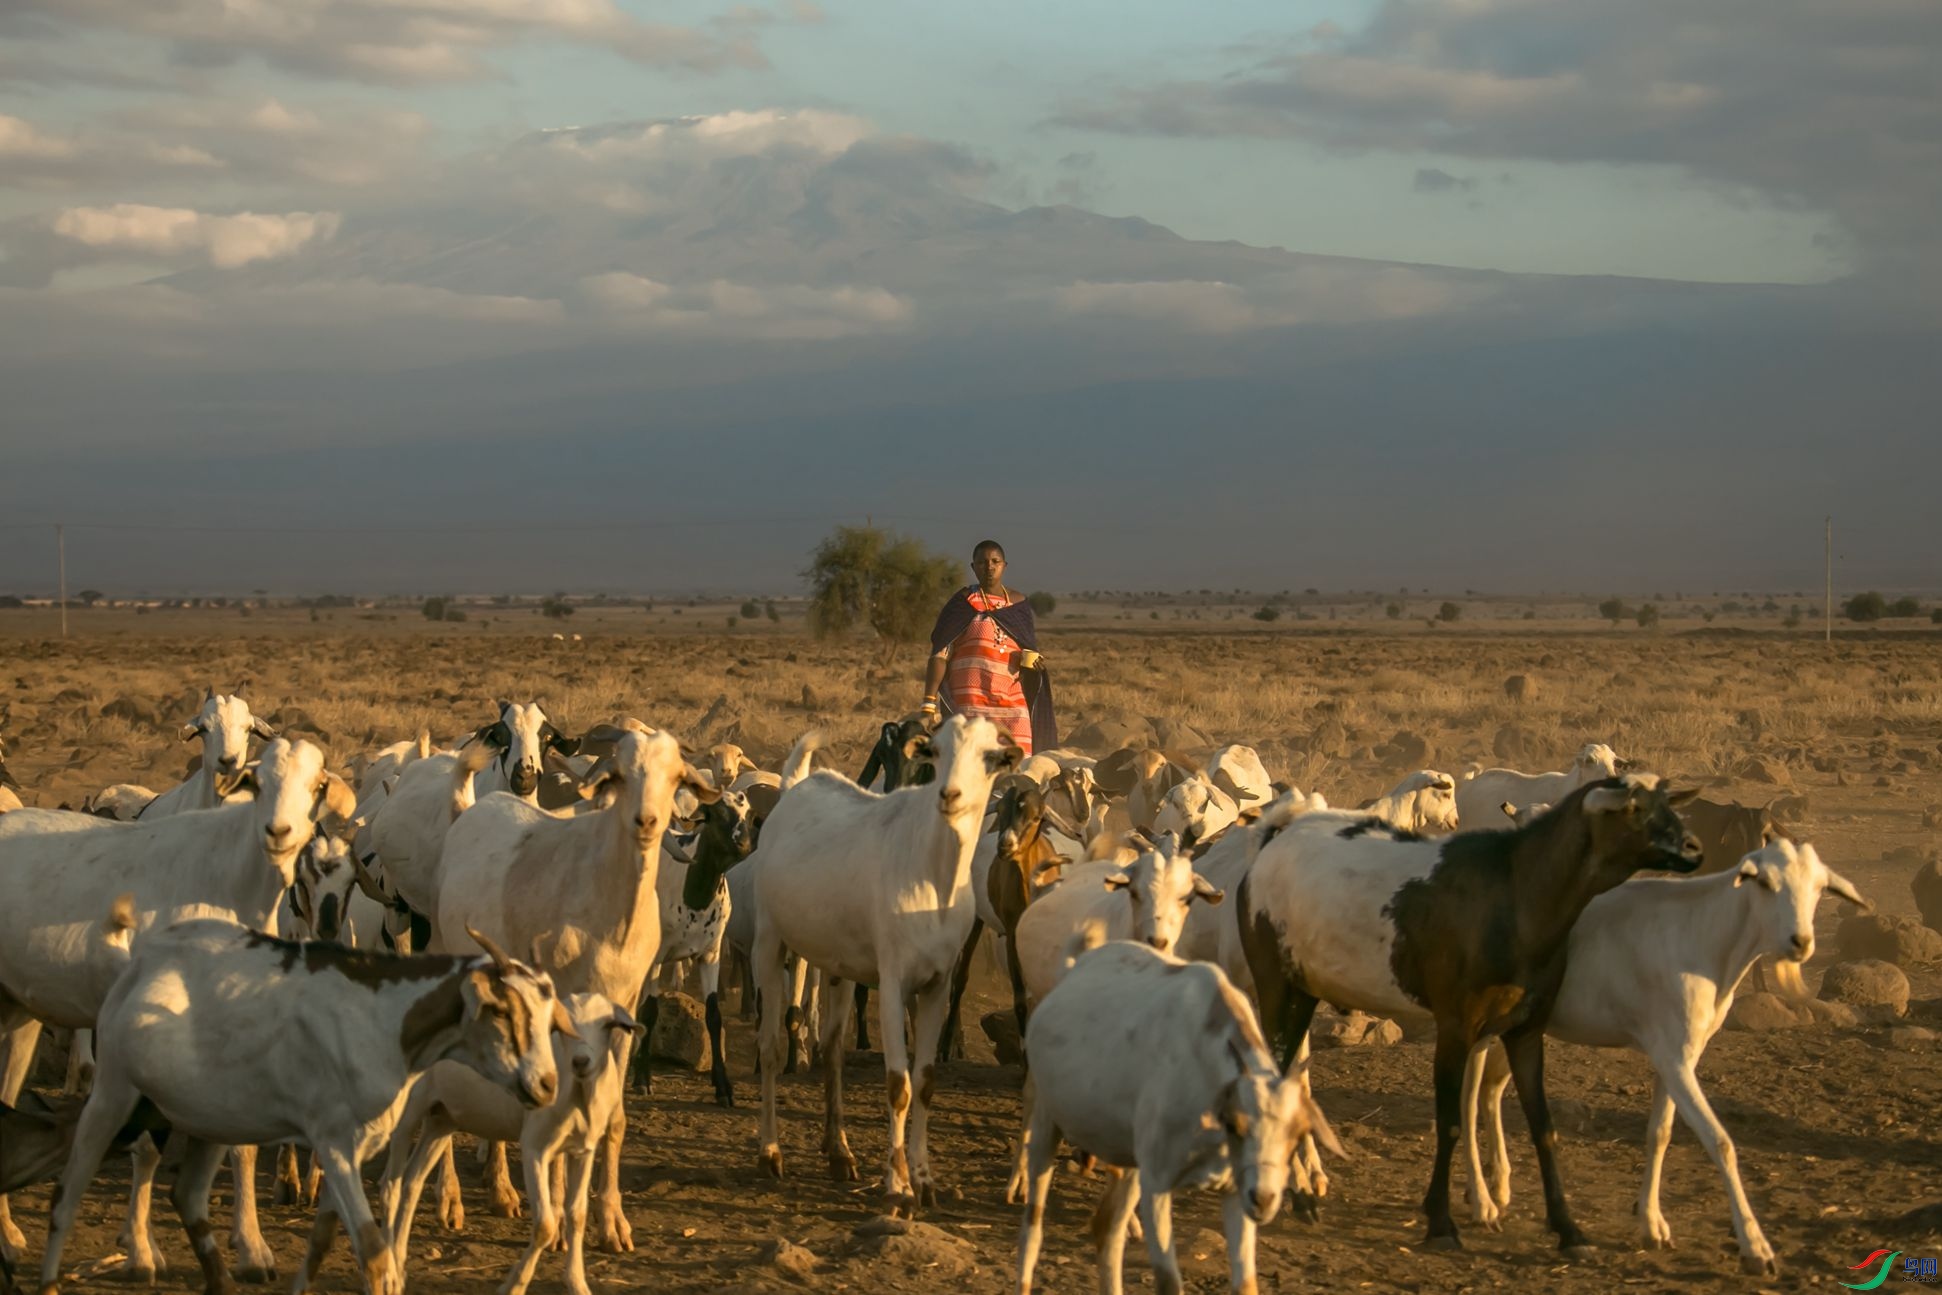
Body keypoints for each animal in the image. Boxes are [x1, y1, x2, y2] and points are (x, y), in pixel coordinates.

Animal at [1460, 842, 1872, 1273]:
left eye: (1820, 887)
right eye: (1764, 882)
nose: (1801, 942)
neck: (1703, 938)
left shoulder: (1676, 1053)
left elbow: (1660, 1133)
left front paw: (1652, 1223)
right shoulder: (1674, 1056)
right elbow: (1720, 1142)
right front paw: (1756, 1247)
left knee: (1489, 1089)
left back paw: (1499, 1186)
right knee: (1467, 1101)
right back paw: (1482, 1203)